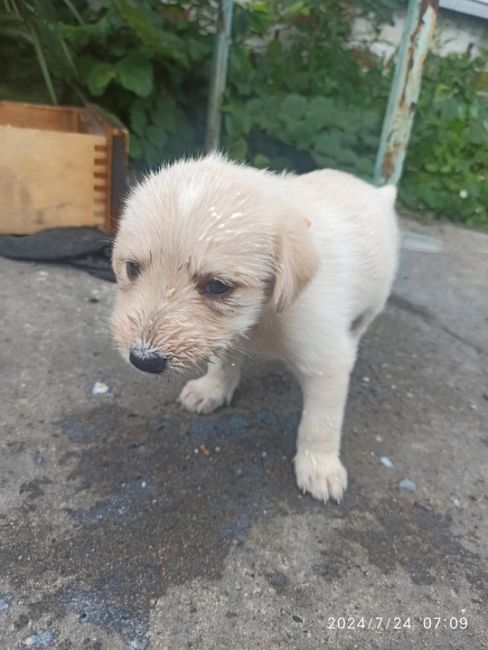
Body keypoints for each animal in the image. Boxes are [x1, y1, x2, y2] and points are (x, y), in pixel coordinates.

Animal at [109, 153, 396, 502]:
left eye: (218, 286)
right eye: (132, 268)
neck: (264, 315)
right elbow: (223, 363)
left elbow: (320, 423)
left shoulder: (327, 362)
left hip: (375, 301)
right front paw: (211, 390)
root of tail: (379, 192)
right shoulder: (227, 335)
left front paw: (320, 468)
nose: (143, 360)